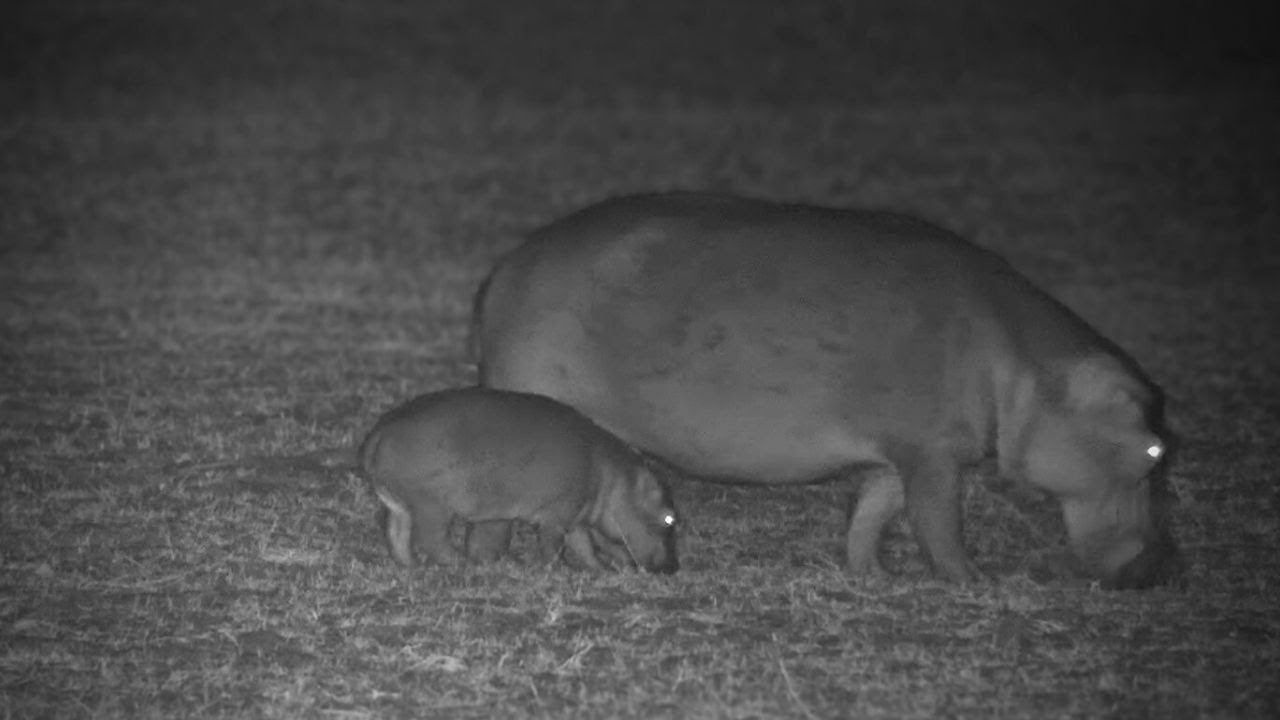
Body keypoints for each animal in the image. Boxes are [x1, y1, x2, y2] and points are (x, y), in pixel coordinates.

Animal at [358, 387, 679, 573]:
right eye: (669, 518)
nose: (673, 567)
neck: (612, 478)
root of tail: (380, 432)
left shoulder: (577, 516)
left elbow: (586, 546)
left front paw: (603, 569)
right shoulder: (559, 515)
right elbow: (558, 545)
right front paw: (554, 569)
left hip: (401, 504)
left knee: (396, 535)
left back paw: (411, 567)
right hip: (432, 507)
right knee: (429, 540)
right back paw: (463, 564)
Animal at [471, 192, 1182, 589]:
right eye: (1155, 450)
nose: (1158, 569)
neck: (1028, 366)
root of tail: (507, 268)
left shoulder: (902, 456)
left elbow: (873, 512)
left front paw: (873, 574)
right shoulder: (932, 454)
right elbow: (939, 522)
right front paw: (977, 581)